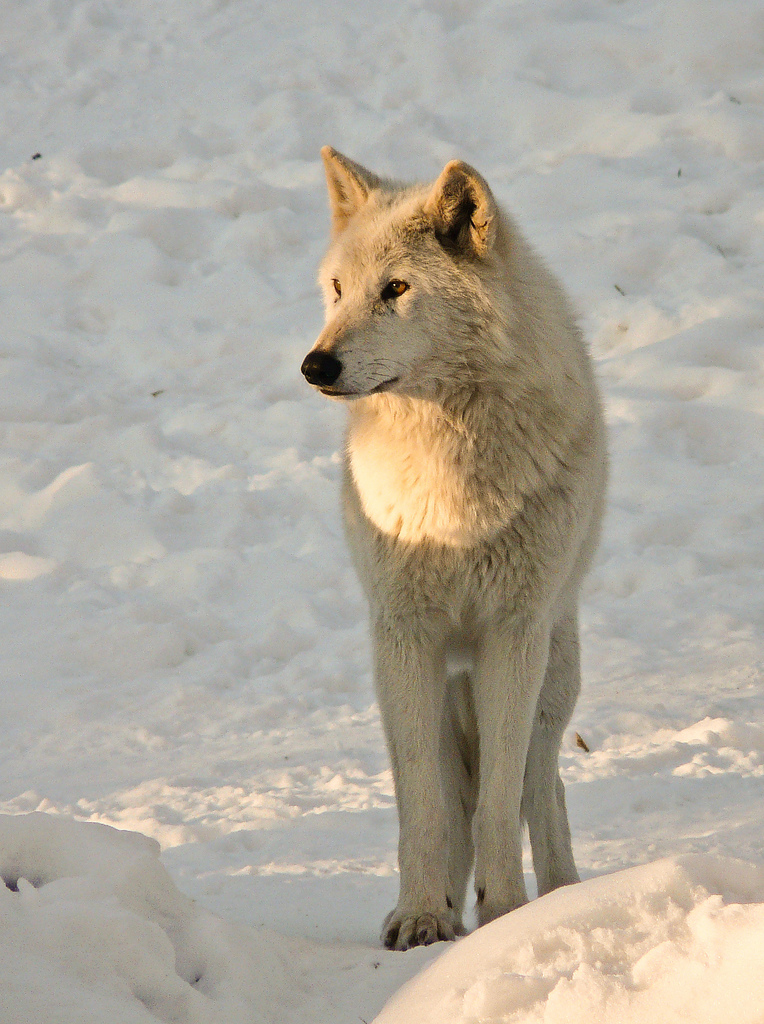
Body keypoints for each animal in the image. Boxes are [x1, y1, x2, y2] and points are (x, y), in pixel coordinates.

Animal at [301, 148, 602, 946]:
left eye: (396, 289)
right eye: (337, 290)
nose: (316, 366)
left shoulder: (513, 635)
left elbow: (500, 801)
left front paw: (505, 914)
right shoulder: (404, 637)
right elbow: (425, 807)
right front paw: (419, 914)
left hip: (551, 672)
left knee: (541, 786)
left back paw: (563, 893)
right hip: (430, 685)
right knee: (451, 794)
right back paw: (439, 902)